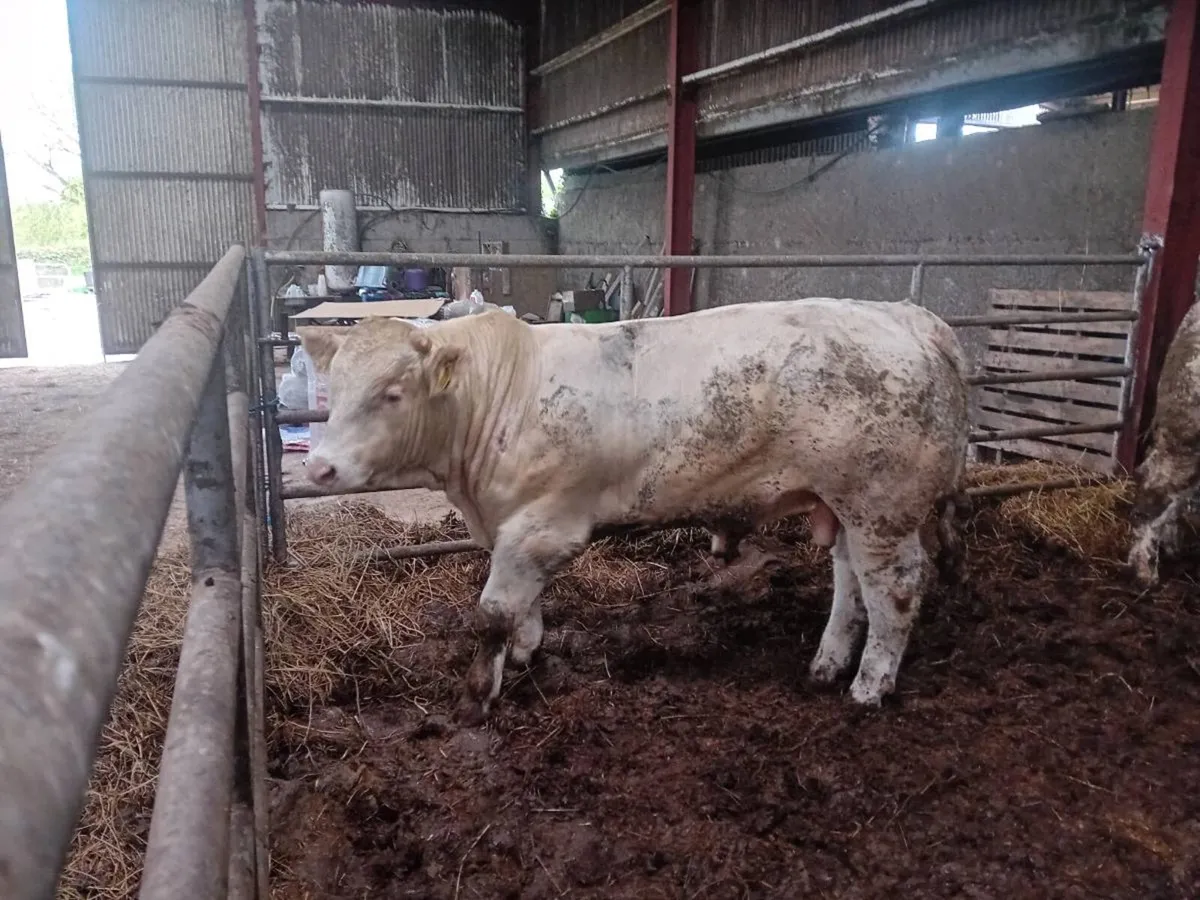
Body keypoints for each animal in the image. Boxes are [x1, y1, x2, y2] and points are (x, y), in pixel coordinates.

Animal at [298, 297, 970, 724]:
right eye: (333, 387)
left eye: (392, 393)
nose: (319, 469)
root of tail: (906, 315)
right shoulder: (511, 528)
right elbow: (522, 608)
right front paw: (526, 654)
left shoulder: (545, 525)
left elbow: (493, 614)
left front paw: (475, 697)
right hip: (846, 507)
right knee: (850, 582)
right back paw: (827, 665)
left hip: (883, 506)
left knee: (896, 590)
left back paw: (868, 687)